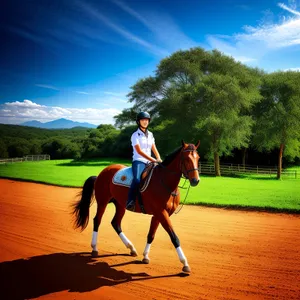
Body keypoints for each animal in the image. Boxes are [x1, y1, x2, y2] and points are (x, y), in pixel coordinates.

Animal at [71, 139, 200, 274]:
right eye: (186, 158)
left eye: (198, 158)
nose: (196, 180)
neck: (164, 183)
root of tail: (101, 173)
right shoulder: (161, 213)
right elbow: (174, 237)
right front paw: (185, 263)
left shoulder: (158, 214)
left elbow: (151, 235)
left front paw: (145, 256)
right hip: (102, 202)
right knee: (97, 220)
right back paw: (95, 248)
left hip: (120, 205)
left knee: (115, 223)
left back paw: (131, 248)